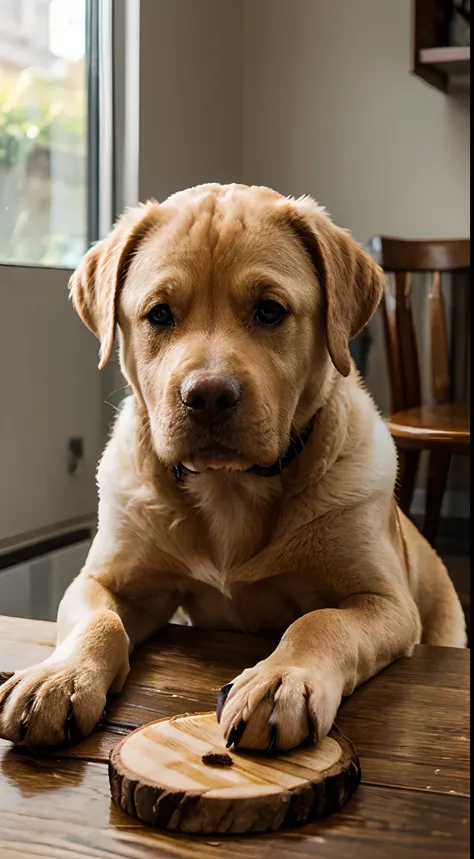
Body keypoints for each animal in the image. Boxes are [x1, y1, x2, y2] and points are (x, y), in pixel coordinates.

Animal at [0, 185, 466, 748]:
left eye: (269, 311)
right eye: (159, 314)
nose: (208, 396)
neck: (229, 486)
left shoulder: (384, 601)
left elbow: (320, 621)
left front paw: (280, 678)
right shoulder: (104, 580)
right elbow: (99, 622)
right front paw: (59, 676)